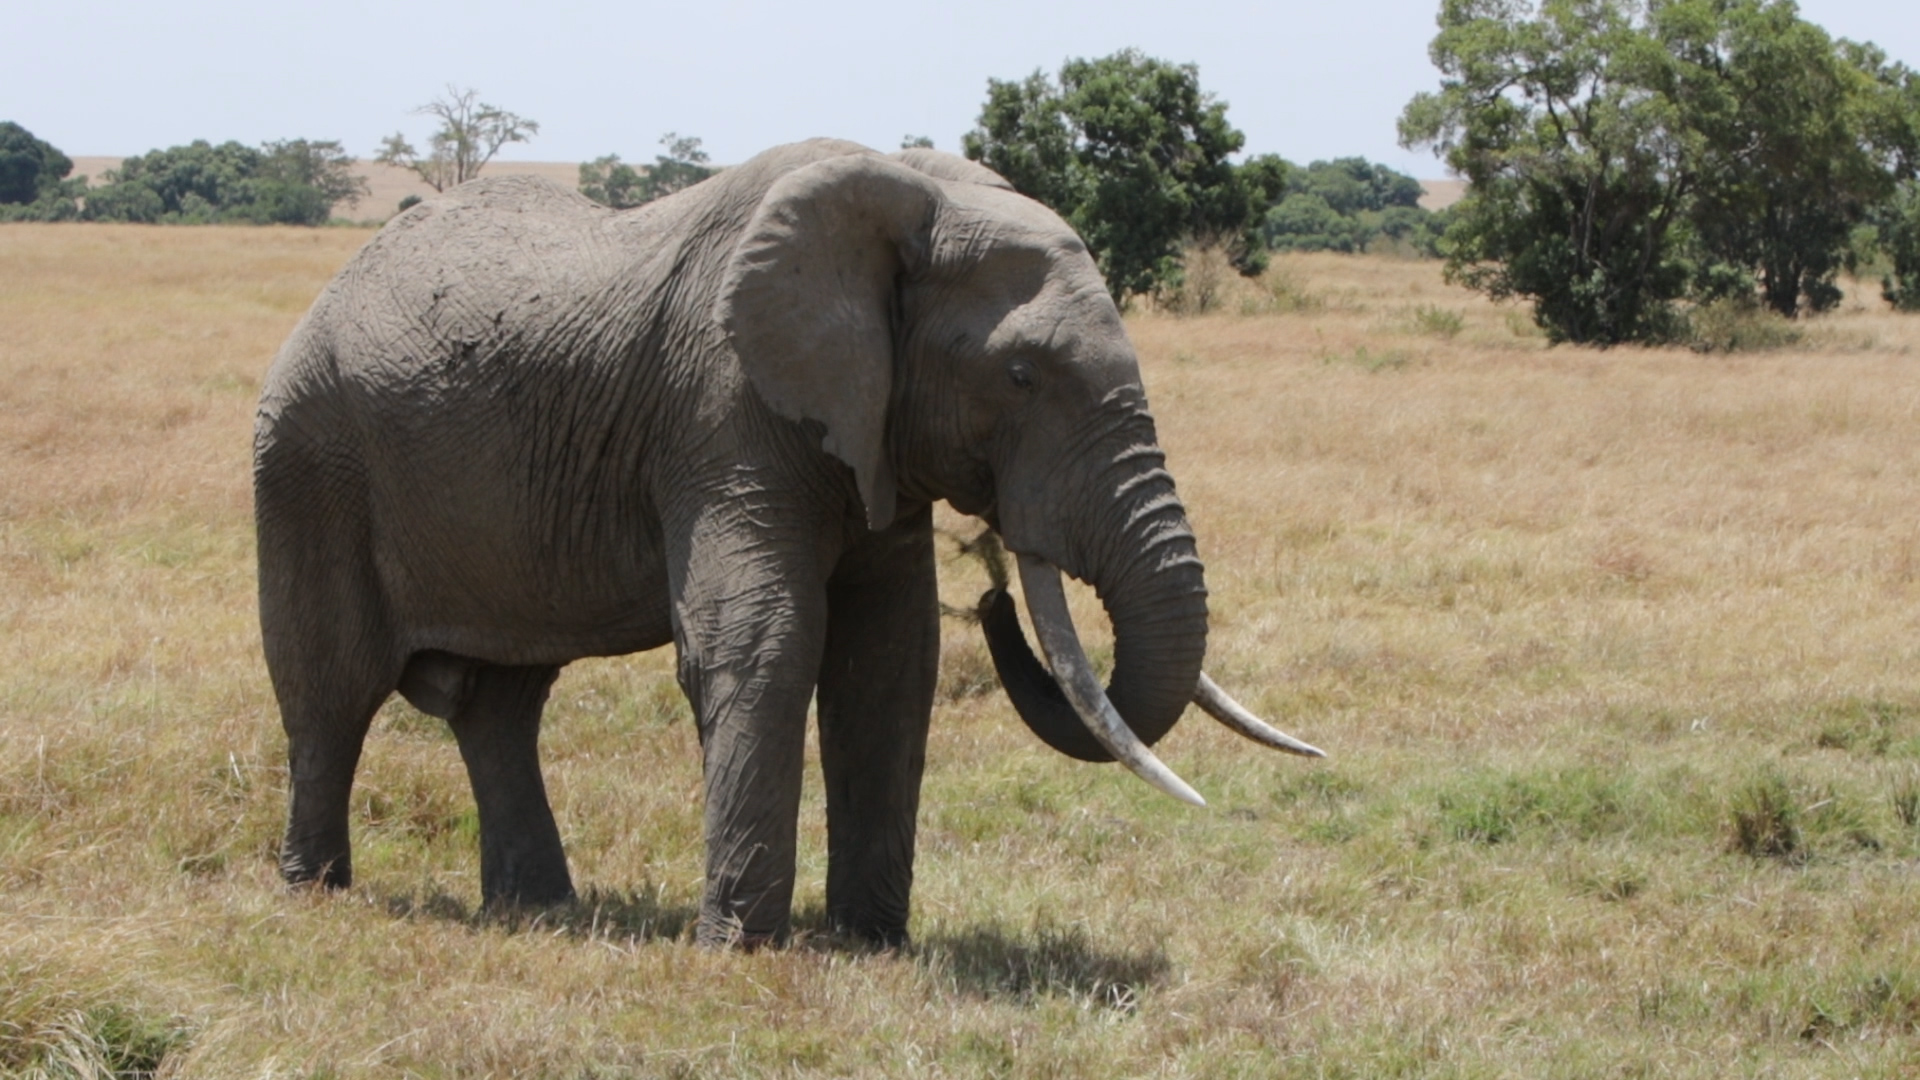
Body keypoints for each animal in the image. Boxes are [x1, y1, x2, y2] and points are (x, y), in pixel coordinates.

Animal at [255, 136, 1320, 941]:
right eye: (1020, 376)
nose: (993, 593)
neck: (905, 195)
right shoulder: (723, 408)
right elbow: (764, 637)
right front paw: (741, 948)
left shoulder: (871, 433)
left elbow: (889, 660)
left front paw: (869, 943)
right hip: (310, 454)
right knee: (330, 689)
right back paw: (315, 893)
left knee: (502, 707)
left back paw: (540, 910)